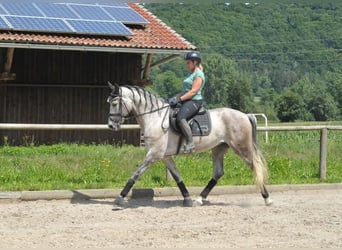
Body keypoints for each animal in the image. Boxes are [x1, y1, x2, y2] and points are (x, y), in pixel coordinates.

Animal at [107, 82, 272, 207]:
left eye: (114, 103)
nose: (110, 125)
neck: (154, 117)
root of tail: (245, 115)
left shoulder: (154, 154)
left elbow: (136, 173)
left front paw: (120, 197)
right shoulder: (165, 156)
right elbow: (176, 176)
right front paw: (187, 198)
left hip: (241, 148)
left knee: (255, 167)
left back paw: (267, 198)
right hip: (219, 148)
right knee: (218, 172)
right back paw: (199, 199)